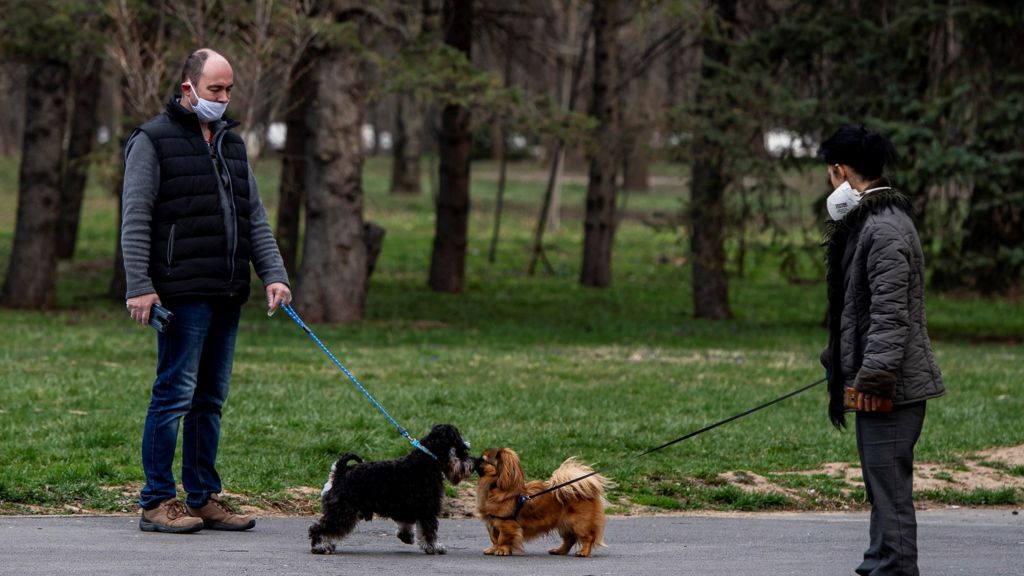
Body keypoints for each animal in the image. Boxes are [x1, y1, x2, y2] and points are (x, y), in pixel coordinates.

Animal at [309, 422, 473, 553]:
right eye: (463, 449)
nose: (471, 466)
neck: (427, 459)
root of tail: (339, 472)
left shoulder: (407, 508)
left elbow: (406, 524)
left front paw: (407, 537)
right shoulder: (428, 510)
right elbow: (429, 532)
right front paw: (434, 547)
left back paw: (327, 545)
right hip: (343, 512)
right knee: (319, 528)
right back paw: (320, 546)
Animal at [473, 446, 606, 553]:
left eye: (483, 459)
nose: (473, 459)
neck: (494, 489)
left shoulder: (506, 524)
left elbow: (502, 539)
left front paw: (501, 550)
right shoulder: (492, 524)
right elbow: (494, 539)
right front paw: (493, 549)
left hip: (579, 524)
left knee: (588, 538)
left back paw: (583, 552)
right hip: (564, 525)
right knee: (569, 540)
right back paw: (558, 551)